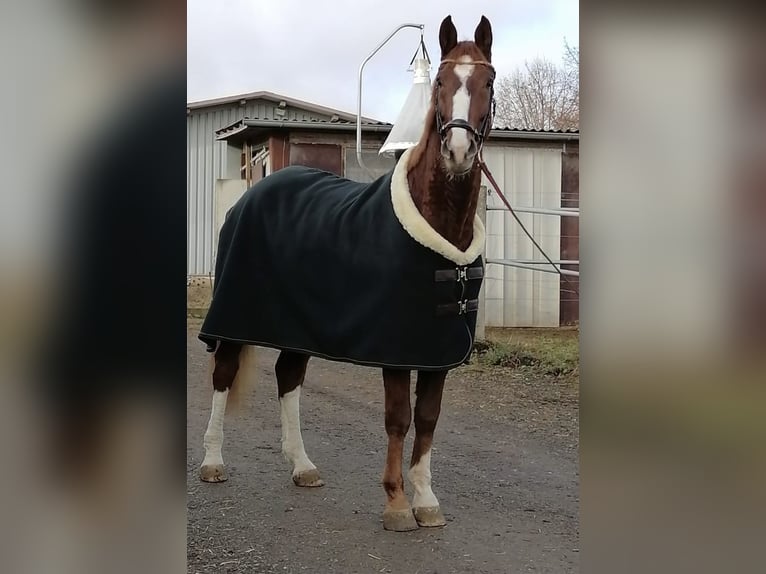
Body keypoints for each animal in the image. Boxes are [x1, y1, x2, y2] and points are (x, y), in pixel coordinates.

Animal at [200, 14, 498, 536]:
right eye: (440, 82)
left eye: (489, 81)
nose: (459, 151)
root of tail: (253, 193)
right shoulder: (398, 349)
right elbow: (399, 418)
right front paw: (397, 504)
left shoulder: (436, 352)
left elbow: (428, 418)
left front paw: (426, 501)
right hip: (234, 317)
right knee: (223, 374)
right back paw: (212, 462)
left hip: (295, 327)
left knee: (288, 377)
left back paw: (302, 467)